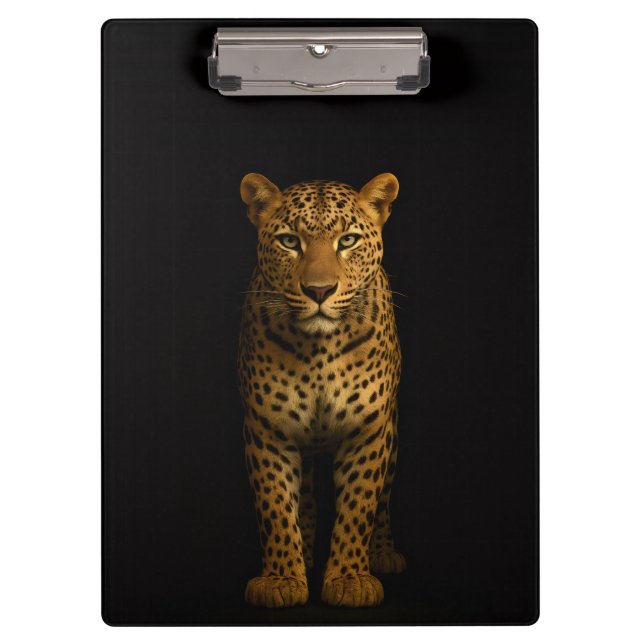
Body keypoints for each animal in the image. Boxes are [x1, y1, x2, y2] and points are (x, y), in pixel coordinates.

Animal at [237, 172, 405, 609]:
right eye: (288, 241)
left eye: (347, 240)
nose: (318, 291)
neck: (318, 353)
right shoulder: (267, 430)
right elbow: (276, 507)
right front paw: (281, 579)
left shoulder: (368, 431)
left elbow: (360, 506)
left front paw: (350, 579)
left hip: (392, 433)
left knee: (384, 498)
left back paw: (384, 553)